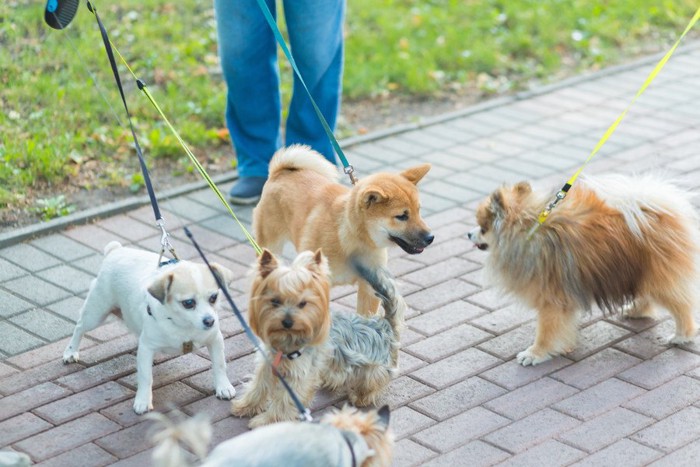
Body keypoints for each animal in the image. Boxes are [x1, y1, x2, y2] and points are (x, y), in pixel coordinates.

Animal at [63, 241, 238, 414]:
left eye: (214, 297)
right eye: (188, 303)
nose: (210, 321)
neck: (183, 325)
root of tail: (116, 250)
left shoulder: (215, 340)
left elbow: (219, 365)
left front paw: (223, 386)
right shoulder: (147, 348)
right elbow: (146, 376)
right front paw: (143, 401)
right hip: (96, 314)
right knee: (79, 327)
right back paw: (71, 352)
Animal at [231, 250, 402, 430]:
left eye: (303, 303)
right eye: (275, 301)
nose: (287, 322)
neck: (286, 340)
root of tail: (384, 324)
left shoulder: (299, 376)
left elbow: (284, 402)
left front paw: (267, 421)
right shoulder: (267, 365)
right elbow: (258, 387)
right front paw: (244, 406)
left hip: (373, 369)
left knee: (373, 384)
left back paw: (360, 397)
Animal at [254, 144, 434, 316]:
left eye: (418, 210)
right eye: (402, 216)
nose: (431, 237)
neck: (350, 238)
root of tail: (280, 172)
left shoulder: (371, 287)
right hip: (271, 246)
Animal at [470, 174, 700, 368]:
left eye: (483, 228)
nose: (468, 234)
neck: (531, 232)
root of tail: (655, 213)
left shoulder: (551, 301)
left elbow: (545, 331)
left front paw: (535, 354)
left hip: (659, 277)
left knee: (681, 305)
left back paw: (682, 335)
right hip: (640, 272)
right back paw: (635, 310)